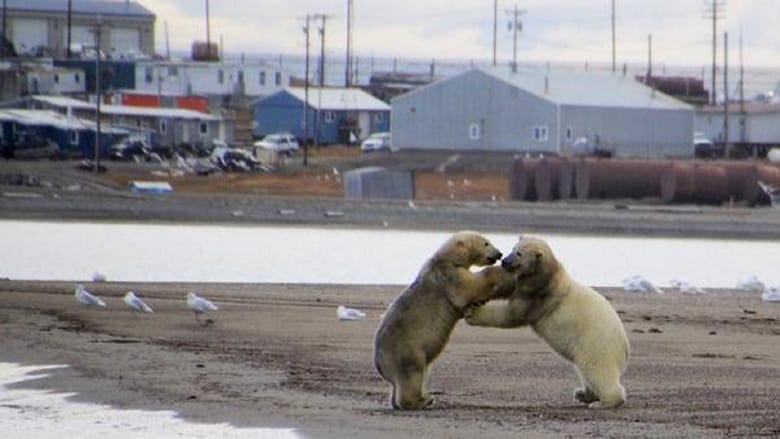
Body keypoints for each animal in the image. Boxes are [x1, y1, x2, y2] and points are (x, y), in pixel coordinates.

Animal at [374, 232, 512, 410]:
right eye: (486, 243)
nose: (500, 254)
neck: (447, 258)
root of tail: (380, 363)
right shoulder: (448, 275)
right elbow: (469, 287)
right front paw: (497, 272)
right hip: (406, 350)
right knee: (412, 373)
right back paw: (423, 400)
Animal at [466, 235, 632, 410]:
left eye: (519, 253)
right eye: (513, 248)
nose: (504, 261)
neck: (550, 275)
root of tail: (625, 349)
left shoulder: (538, 297)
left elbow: (511, 314)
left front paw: (473, 313)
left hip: (596, 345)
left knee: (596, 369)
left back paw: (603, 402)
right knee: (585, 371)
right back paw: (583, 394)